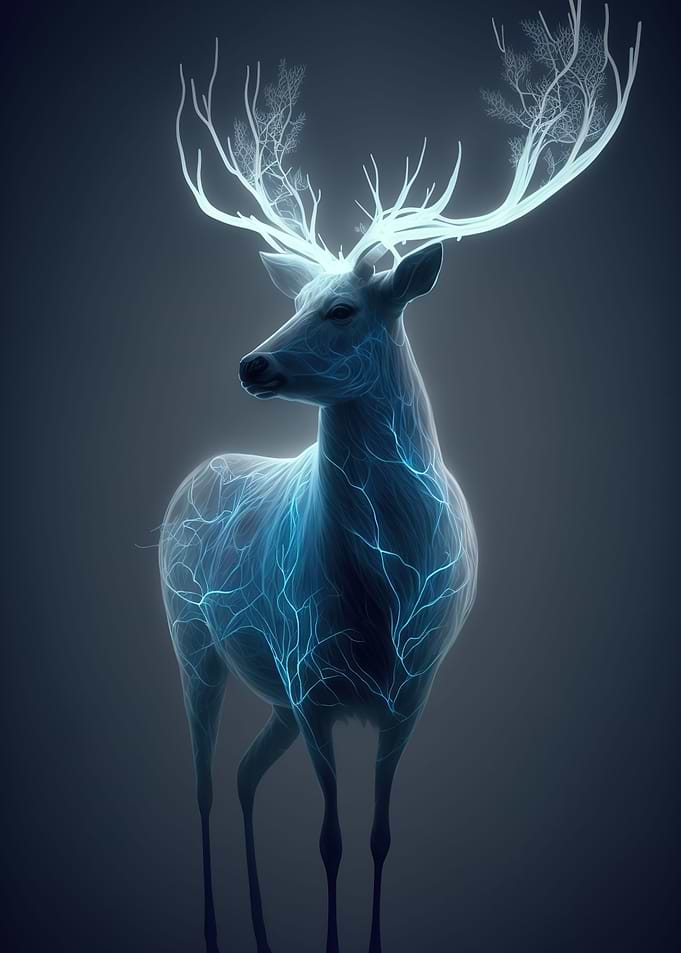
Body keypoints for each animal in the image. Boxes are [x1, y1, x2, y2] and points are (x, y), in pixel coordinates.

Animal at [160, 4, 640, 951]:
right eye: (296, 300)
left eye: (341, 307)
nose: (251, 363)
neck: (381, 585)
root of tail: (195, 474)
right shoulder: (310, 676)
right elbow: (331, 840)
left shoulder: (408, 688)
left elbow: (379, 837)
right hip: (191, 635)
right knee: (198, 783)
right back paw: (215, 929)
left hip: (267, 687)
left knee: (240, 774)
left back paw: (259, 933)